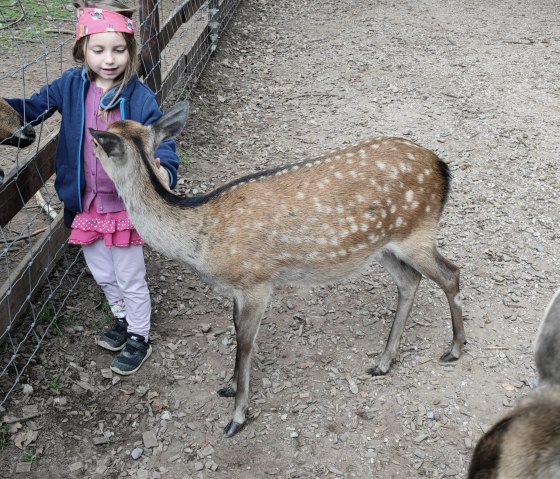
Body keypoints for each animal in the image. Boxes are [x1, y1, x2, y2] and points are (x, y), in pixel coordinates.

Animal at [88, 101, 464, 438]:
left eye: (98, 144)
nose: (88, 143)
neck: (202, 242)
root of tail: (442, 167)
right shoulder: (239, 288)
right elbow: (236, 330)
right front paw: (229, 385)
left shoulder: (257, 282)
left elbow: (244, 341)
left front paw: (237, 417)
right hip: (383, 246)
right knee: (410, 281)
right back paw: (384, 361)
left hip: (417, 233)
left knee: (451, 274)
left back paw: (454, 349)